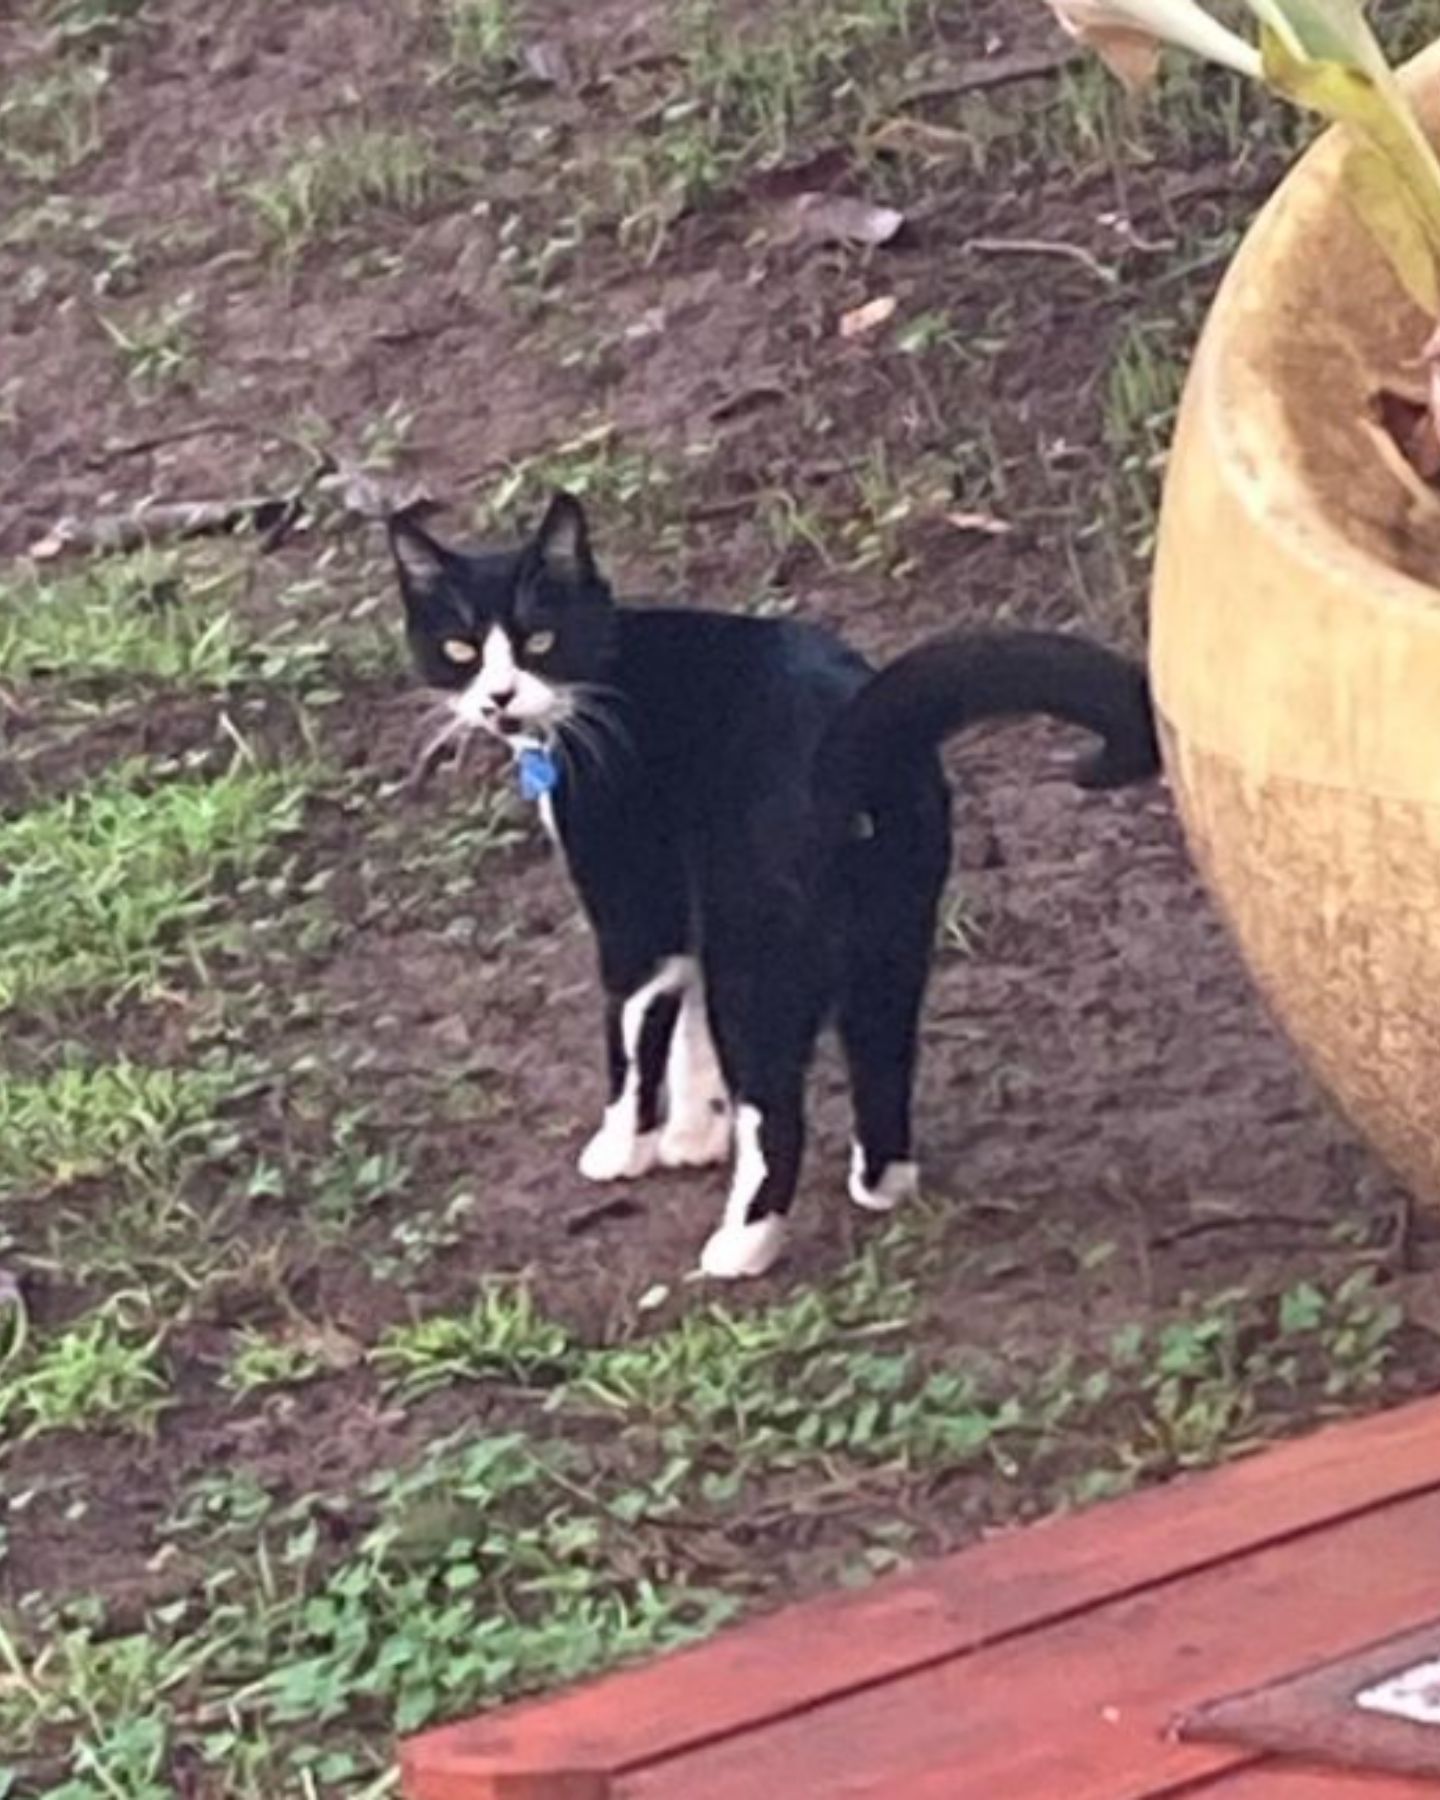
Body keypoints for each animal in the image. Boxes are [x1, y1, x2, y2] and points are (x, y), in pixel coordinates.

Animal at [385, 493, 1159, 1281]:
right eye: (460, 649)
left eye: (539, 639)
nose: (498, 698)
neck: (603, 677)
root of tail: (851, 747)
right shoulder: (698, 902)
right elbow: (691, 1028)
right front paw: (695, 1135)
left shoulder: (638, 906)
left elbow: (634, 1039)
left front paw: (623, 1149)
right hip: (891, 929)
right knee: (884, 1060)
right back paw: (880, 1184)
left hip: (759, 944)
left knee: (778, 1111)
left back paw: (740, 1246)